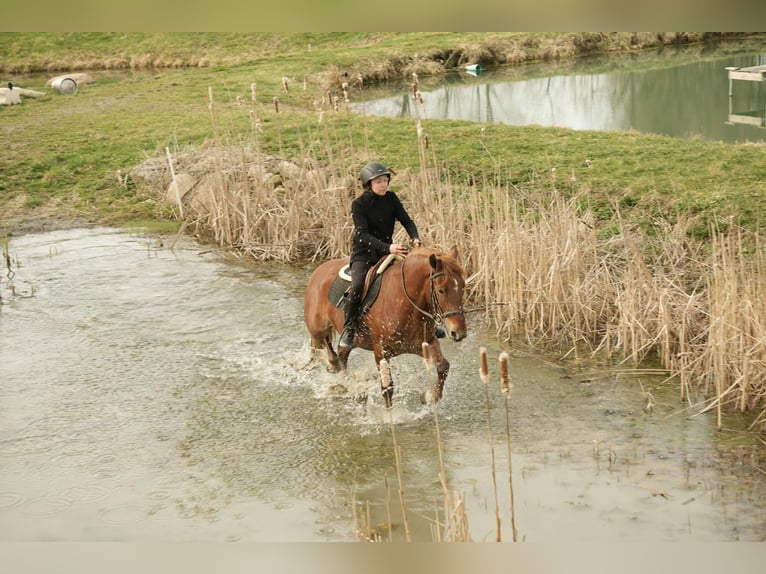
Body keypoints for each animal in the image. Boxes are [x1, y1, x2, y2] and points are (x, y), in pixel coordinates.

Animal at [303, 245, 467, 408]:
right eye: (441, 290)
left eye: (462, 287)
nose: (459, 332)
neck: (404, 302)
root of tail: (318, 271)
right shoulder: (381, 351)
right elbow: (387, 388)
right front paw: (389, 414)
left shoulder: (426, 342)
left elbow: (443, 366)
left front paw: (431, 397)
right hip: (318, 328)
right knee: (330, 350)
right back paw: (335, 371)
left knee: (342, 355)